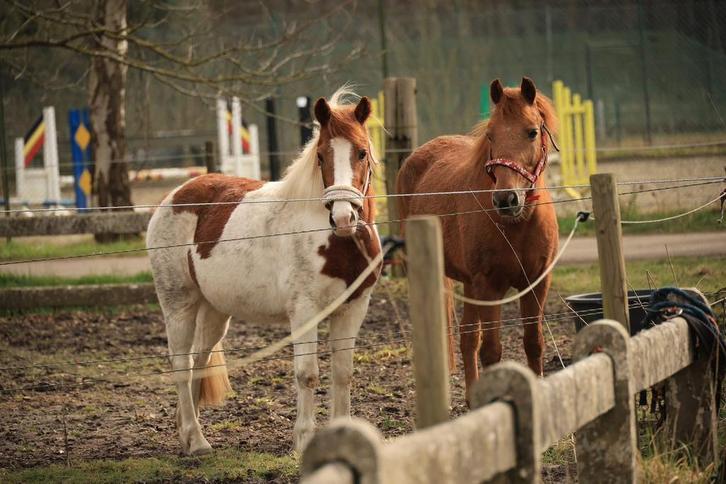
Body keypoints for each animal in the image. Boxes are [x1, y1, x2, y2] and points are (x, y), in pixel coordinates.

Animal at [146, 88, 381, 455]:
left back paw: (188, 433)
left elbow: (343, 374)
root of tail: (172, 197)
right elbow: (307, 374)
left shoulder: (353, 309)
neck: (336, 241)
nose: (344, 217)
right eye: (321, 156)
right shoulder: (305, 312)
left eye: (362, 153)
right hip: (178, 304)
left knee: (199, 360)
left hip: (215, 311)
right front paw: (303, 440)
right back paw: (196, 441)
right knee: (181, 364)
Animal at [397, 77, 559, 402]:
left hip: (470, 284)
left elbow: (533, 343)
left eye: (532, 131)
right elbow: (492, 351)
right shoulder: (489, 286)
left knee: (468, 337)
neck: (517, 225)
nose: (506, 199)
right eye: (490, 134)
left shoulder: (537, 282)